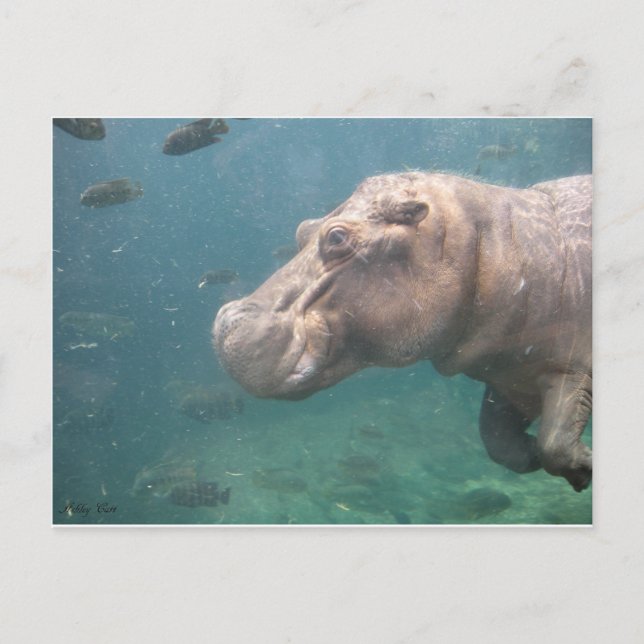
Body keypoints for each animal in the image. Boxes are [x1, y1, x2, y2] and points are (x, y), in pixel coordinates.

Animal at [213, 172, 592, 492]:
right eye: (302, 229)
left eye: (336, 236)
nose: (226, 321)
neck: (504, 244)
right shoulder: (509, 380)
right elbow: (500, 443)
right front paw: (533, 451)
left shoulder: (571, 368)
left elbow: (555, 442)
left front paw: (586, 465)